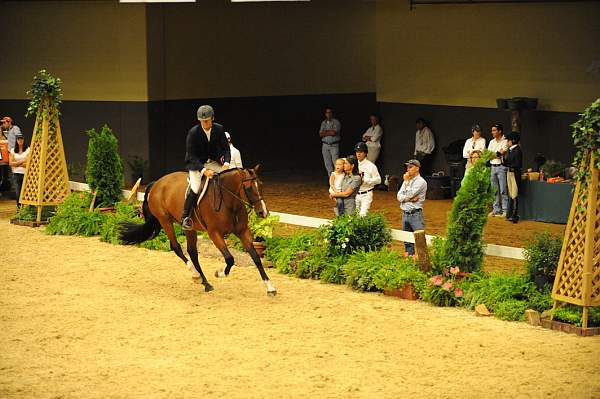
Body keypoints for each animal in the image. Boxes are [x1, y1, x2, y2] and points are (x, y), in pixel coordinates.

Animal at [118, 166, 278, 296]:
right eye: (249, 188)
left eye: (261, 185)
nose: (263, 212)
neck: (229, 202)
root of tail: (156, 183)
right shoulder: (215, 234)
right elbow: (230, 259)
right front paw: (219, 273)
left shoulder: (243, 232)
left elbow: (256, 258)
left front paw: (270, 288)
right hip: (165, 221)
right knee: (176, 247)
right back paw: (195, 275)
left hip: (190, 228)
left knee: (192, 252)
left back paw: (205, 283)